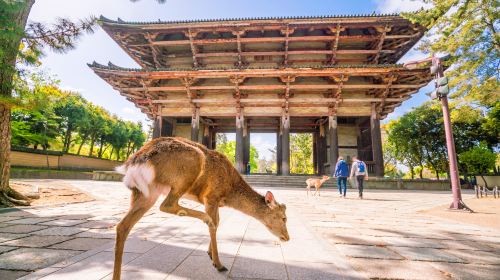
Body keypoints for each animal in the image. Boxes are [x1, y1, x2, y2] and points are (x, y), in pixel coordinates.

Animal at [113, 137, 290, 278]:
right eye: (284, 218)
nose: (287, 237)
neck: (229, 191)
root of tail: (133, 163)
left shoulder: (214, 202)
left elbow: (218, 222)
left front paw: (210, 254)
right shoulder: (211, 197)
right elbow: (215, 224)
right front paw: (218, 263)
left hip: (146, 192)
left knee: (123, 226)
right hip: (188, 167)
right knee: (167, 205)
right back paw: (203, 218)